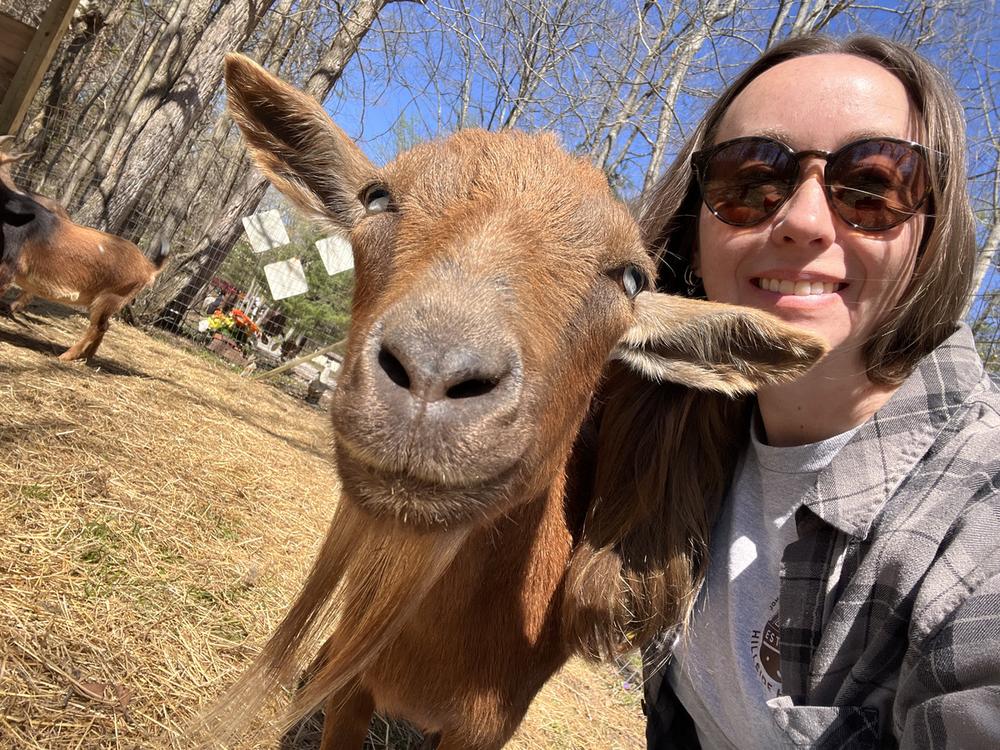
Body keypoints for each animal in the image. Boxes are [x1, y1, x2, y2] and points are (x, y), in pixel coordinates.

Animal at [0, 145, 168, 361]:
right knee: (105, 326)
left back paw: (66, 356)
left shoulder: (7, 268)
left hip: (110, 298)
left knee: (97, 327)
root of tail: (150, 267)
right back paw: (87, 357)